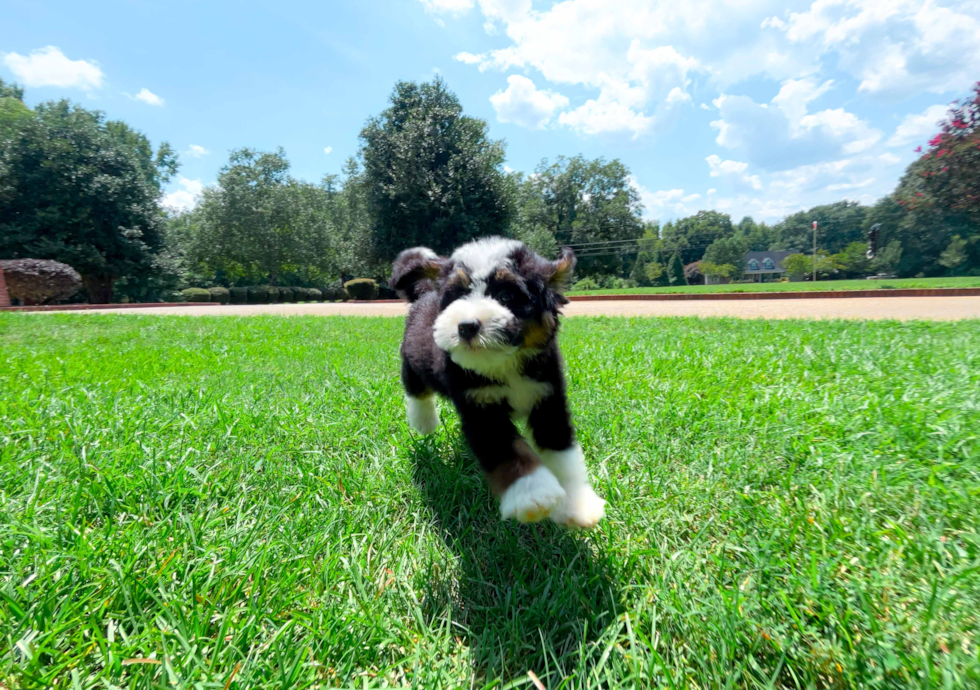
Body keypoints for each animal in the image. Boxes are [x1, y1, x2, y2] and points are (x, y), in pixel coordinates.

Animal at [390, 236, 604, 528]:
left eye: (505, 296)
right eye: (457, 296)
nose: (467, 325)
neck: (504, 365)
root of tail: (424, 293)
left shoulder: (548, 398)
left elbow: (562, 453)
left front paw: (576, 505)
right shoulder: (481, 410)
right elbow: (509, 450)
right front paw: (532, 494)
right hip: (413, 358)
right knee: (416, 389)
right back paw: (424, 421)